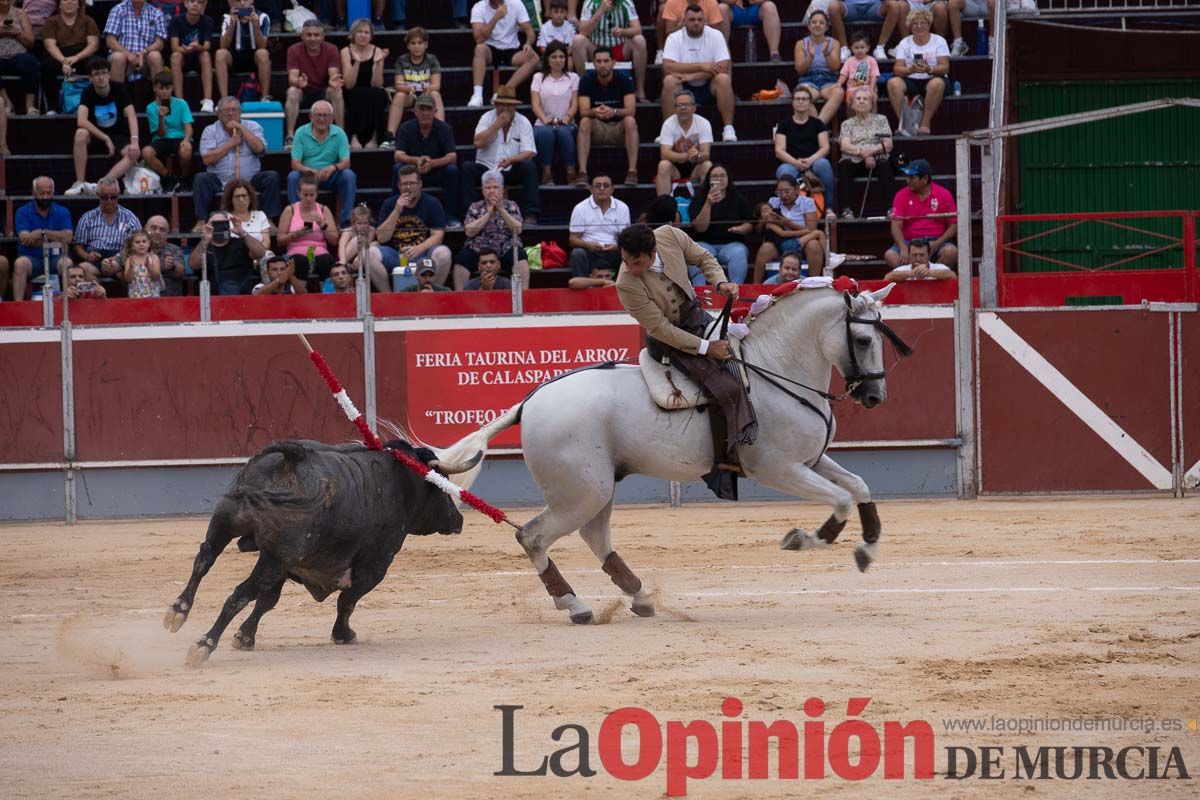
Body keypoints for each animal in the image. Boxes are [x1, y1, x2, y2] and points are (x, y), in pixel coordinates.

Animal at [165, 441, 482, 666]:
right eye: (441, 484)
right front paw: (344, 635)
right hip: (272, 557)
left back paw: (177, 611)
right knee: (238, 594)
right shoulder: (375, 566)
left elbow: (268, 600)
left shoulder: (284, 563)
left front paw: (245, 637)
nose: (458, 520)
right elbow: (347, 601)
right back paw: (204, 644)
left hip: (225, 525)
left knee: (204, 560)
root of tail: (290, 459)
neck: (402, 483)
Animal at [453, 283, 902, 623]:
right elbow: (841, 499)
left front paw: (867, 550)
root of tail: (530, 402)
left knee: (594, 537)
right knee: (532, 536)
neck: (776, 371)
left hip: (595, 488)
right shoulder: (777, 468)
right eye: (863, 339)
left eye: (880, 338)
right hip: (580, 493)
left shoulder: (811, 459)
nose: (876, 396)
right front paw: (802, 539)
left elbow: (859, 486)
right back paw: (576, 605)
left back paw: (639, 598)